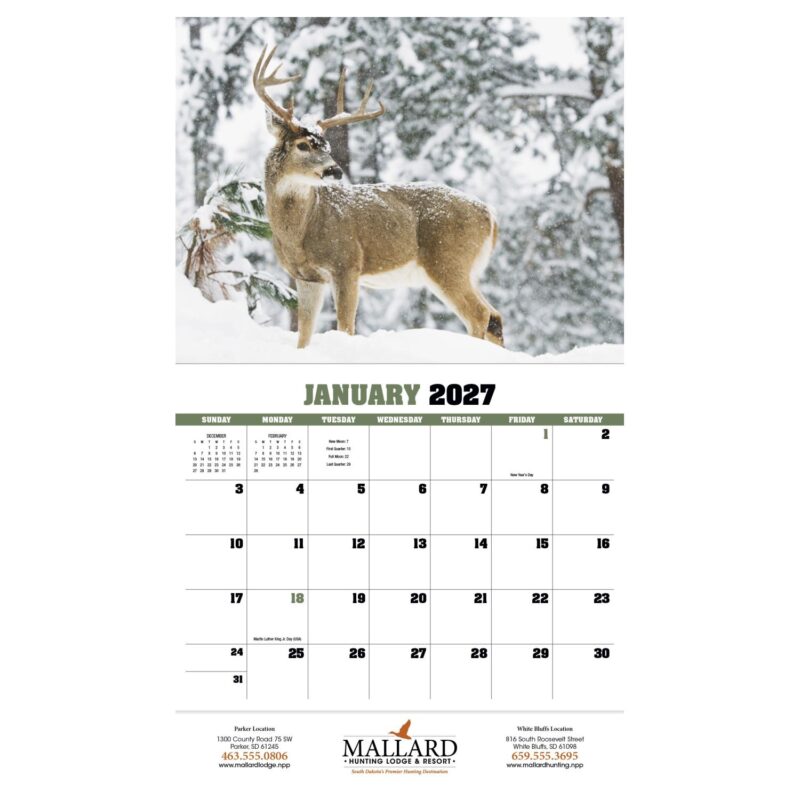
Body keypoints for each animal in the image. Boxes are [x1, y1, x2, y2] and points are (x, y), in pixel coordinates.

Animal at [253, 45, 504, 349]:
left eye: (326, 146)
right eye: (302, 145)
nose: (335, 170)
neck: (299, 232)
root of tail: (490, 215)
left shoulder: (347, 263)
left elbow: (346, 327)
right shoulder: (306, 276)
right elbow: (304, 335)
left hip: (448, 259)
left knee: (480, 315)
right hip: (468, 268)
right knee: (495, 316)